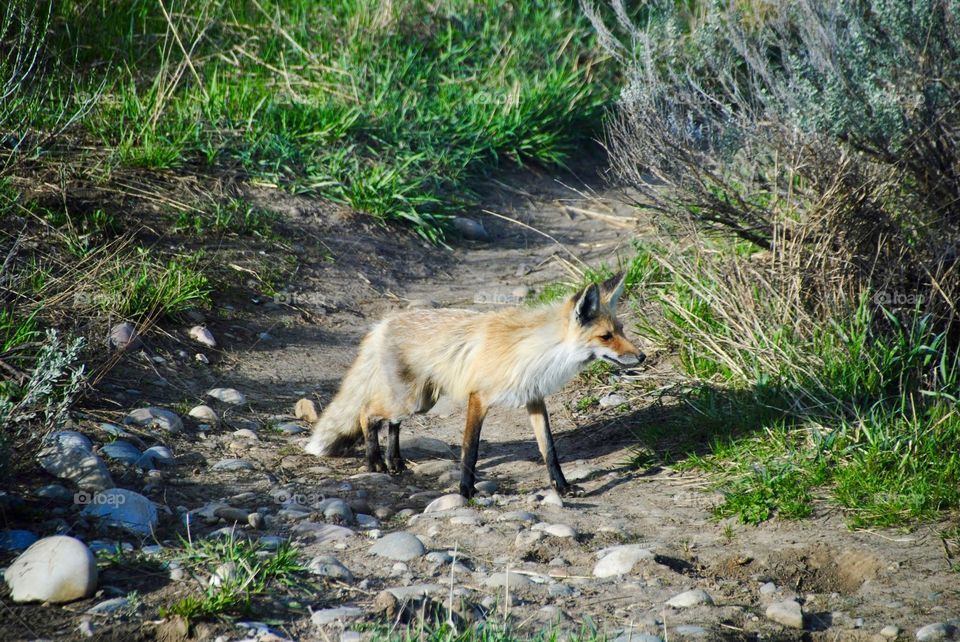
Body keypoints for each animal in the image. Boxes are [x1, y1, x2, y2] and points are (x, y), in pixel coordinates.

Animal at [304, 271, 644, 498]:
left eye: (621, 330)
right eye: (605, 337)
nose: (641, 356)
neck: (536, 352)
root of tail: (382, 324)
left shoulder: (534, 398)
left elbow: (549, 449)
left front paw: (561, 487)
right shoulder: (479, 397)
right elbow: (471, 449)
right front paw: (465, 491)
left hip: (419, 400)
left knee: (393, 423)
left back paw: (394, 461)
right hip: (408, 399)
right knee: (366, 413)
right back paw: (374, 461)